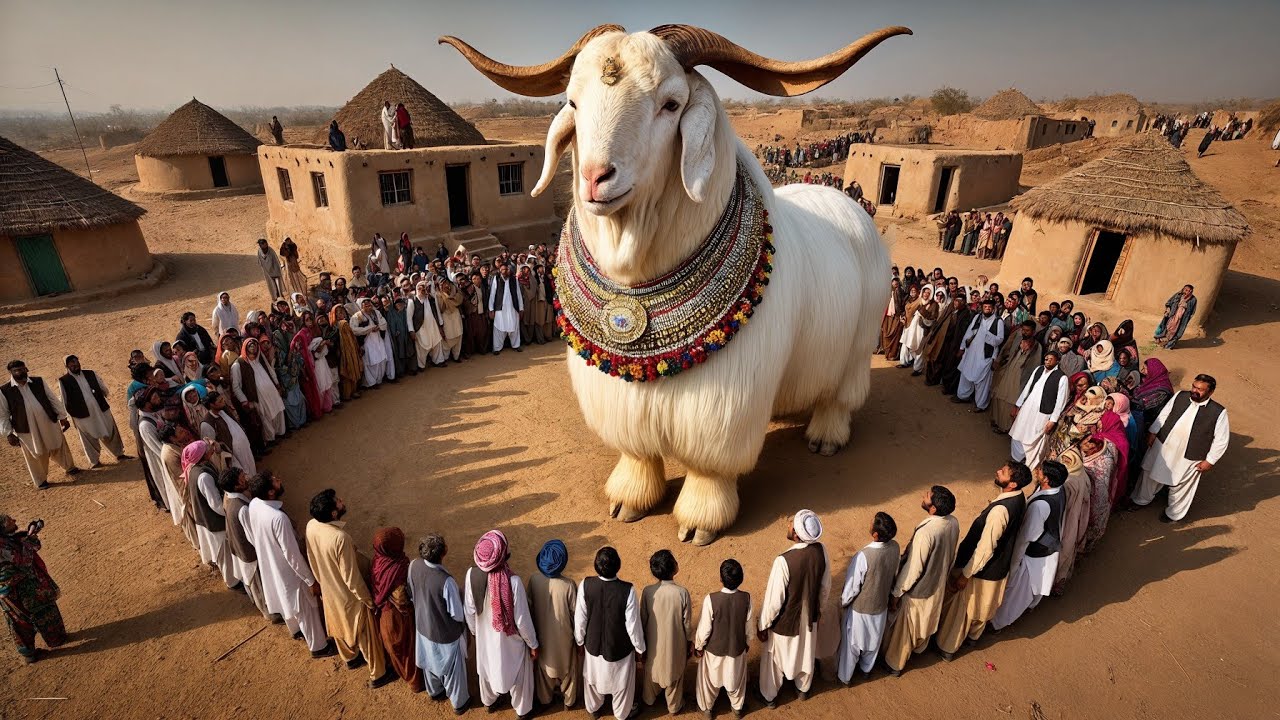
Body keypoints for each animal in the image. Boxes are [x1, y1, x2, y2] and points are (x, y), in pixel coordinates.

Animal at [442, 24, 908, 544]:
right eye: (573, 102)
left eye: (670, 103)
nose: (595, 177)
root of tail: (851, 207)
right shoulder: (620, 401)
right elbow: (638, 455)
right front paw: (629, 500)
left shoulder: (724, 406)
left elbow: (710, 468)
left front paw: (700, 520)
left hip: (858, 344)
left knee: (842, 395)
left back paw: (825, 437)